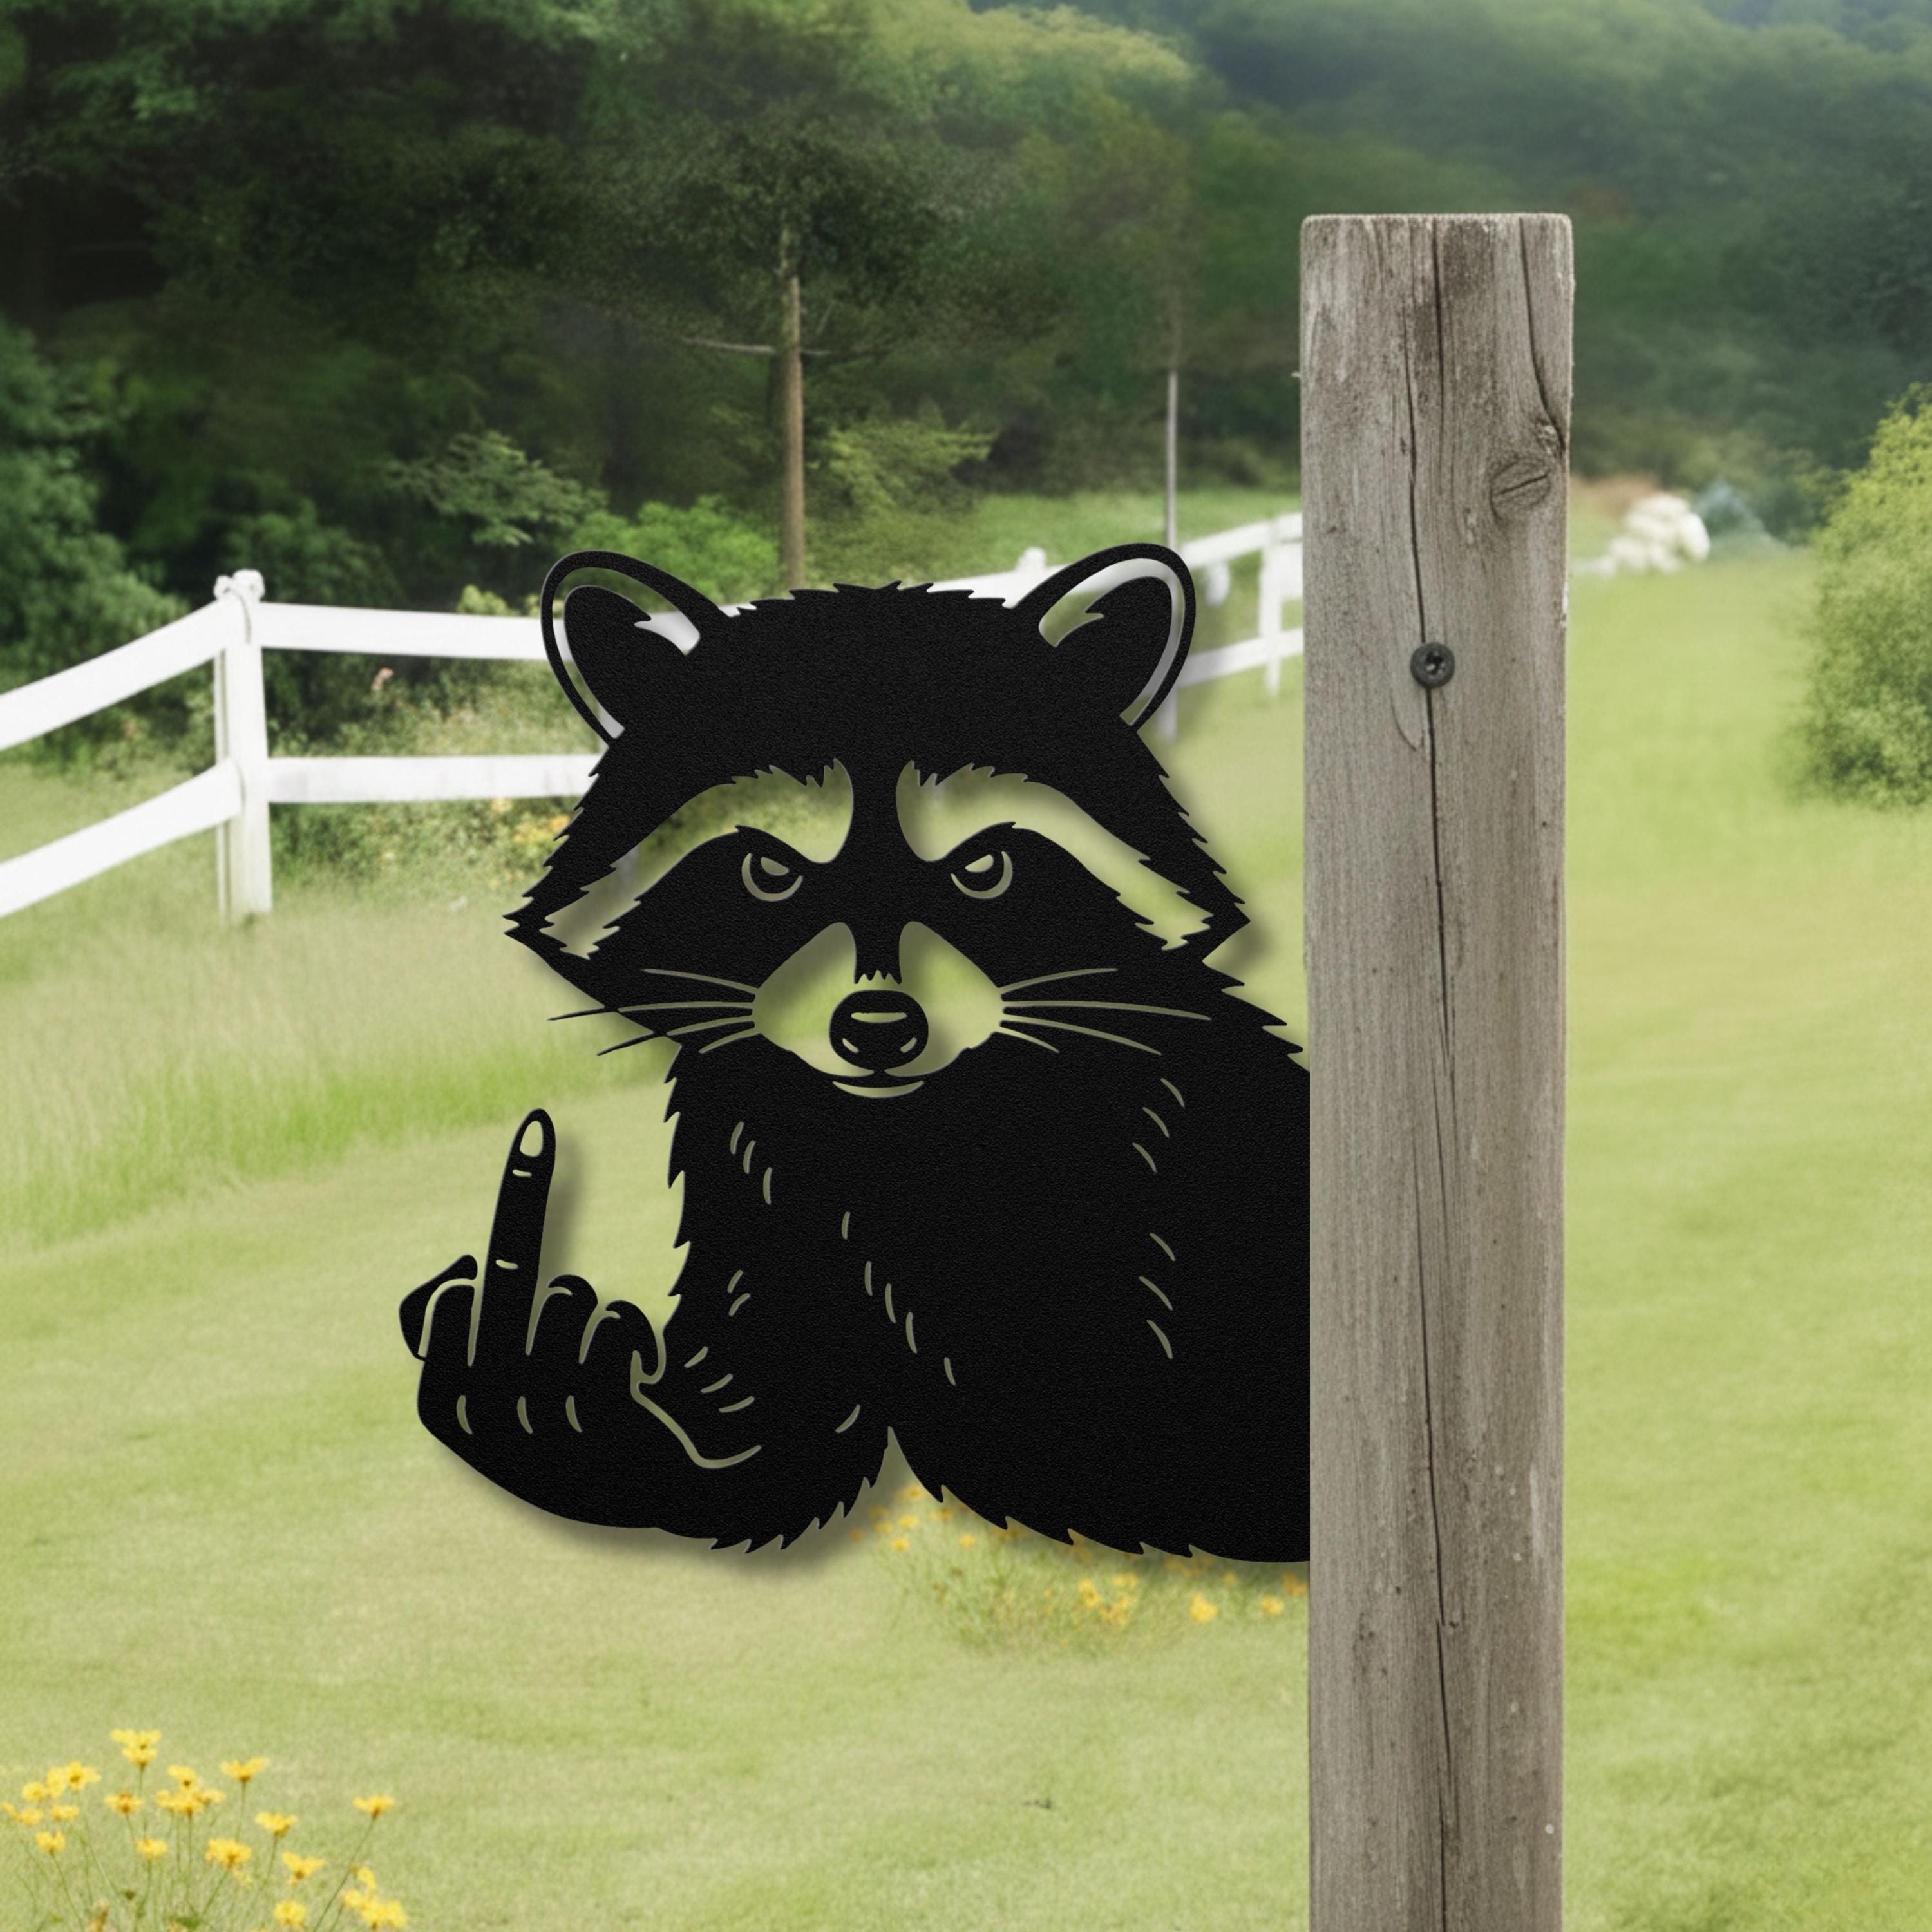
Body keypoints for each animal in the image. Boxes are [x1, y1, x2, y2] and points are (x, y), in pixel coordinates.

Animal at [399, 543, 1309, 1561]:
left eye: (981, 868)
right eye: (771, 871)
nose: (878, 1031)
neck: (893, 1131)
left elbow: (1099, 1431)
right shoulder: (756, 1181)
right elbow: (775, 1431)